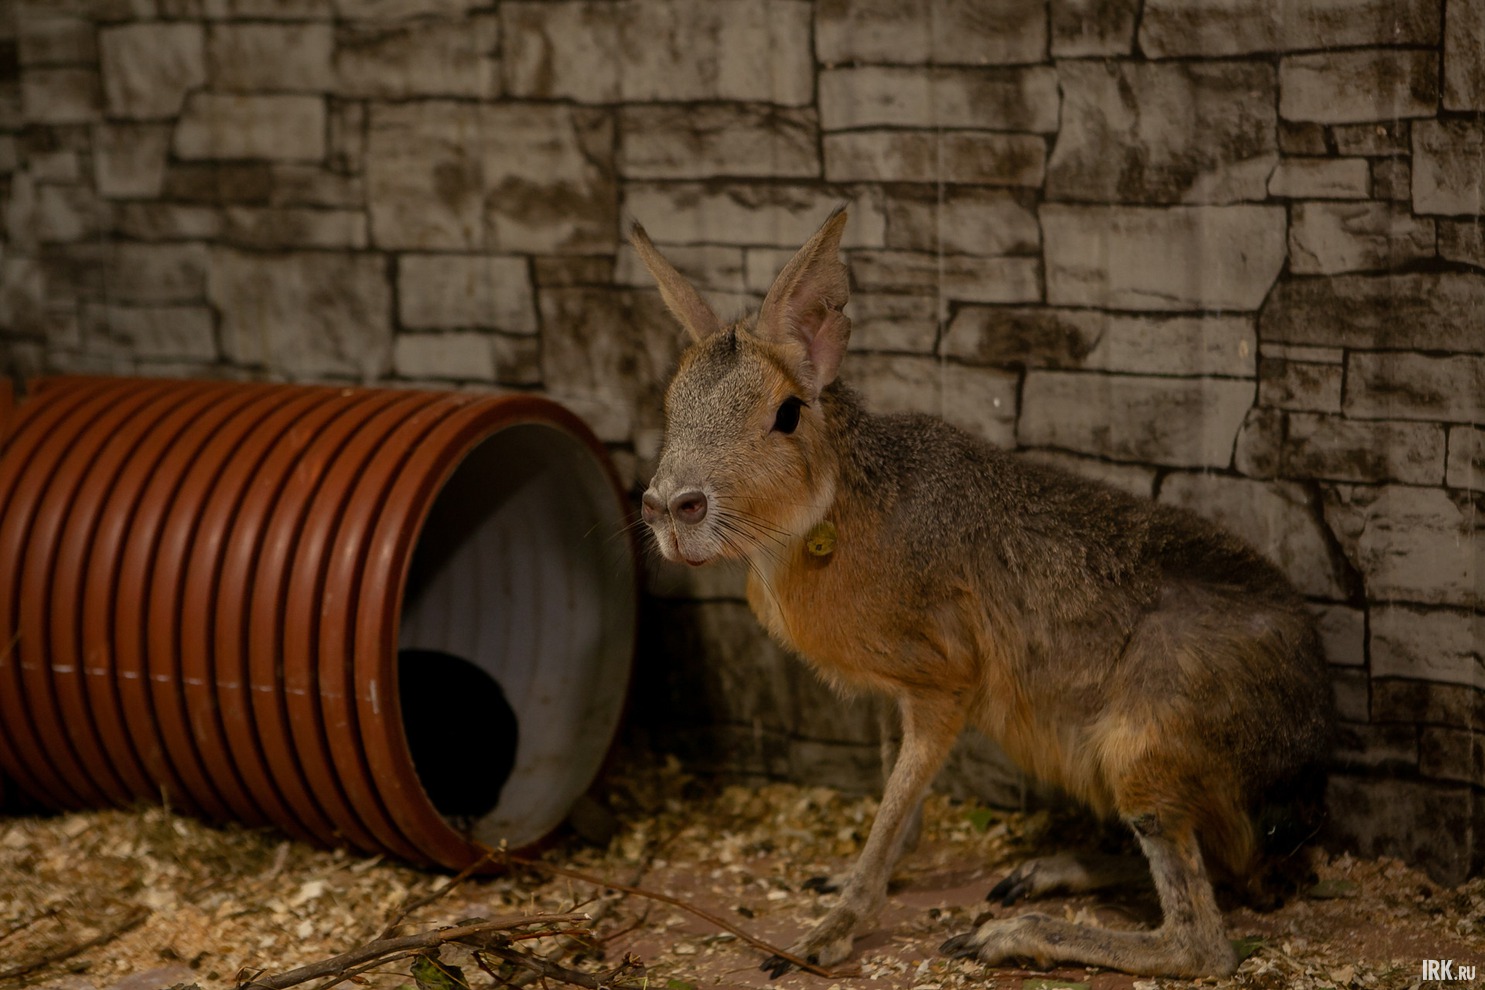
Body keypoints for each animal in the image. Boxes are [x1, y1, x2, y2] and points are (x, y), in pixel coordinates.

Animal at [631, 209, 1335, 979]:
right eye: (670, 405)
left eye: (786, 414)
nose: (670, 506)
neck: (836, 513)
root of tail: (1305, 783)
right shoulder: (894, 690)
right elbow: (896, 803)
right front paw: (848, 879)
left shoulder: (945, 684)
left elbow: (893, 808)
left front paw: (830, 929)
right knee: (1220, 875)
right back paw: (1051, 870)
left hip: (1143, 756)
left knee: (1201, 941)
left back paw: (1013, 932)